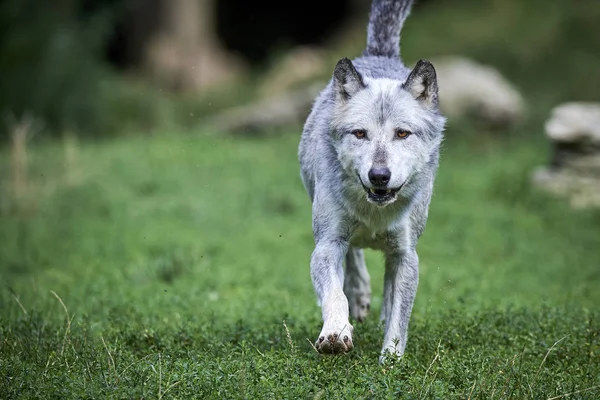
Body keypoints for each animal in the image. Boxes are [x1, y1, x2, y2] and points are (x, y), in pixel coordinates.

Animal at [296, 0, 442, 360]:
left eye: (402, 133)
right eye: (360, 134)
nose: (379, 175)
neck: (375, 213)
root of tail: (378, 53)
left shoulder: (405, 255)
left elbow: (399, 314)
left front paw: (391, 358)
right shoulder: (326, 244)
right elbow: (335, 295)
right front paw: (336, 332)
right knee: (353, 258)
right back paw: (359, 299)